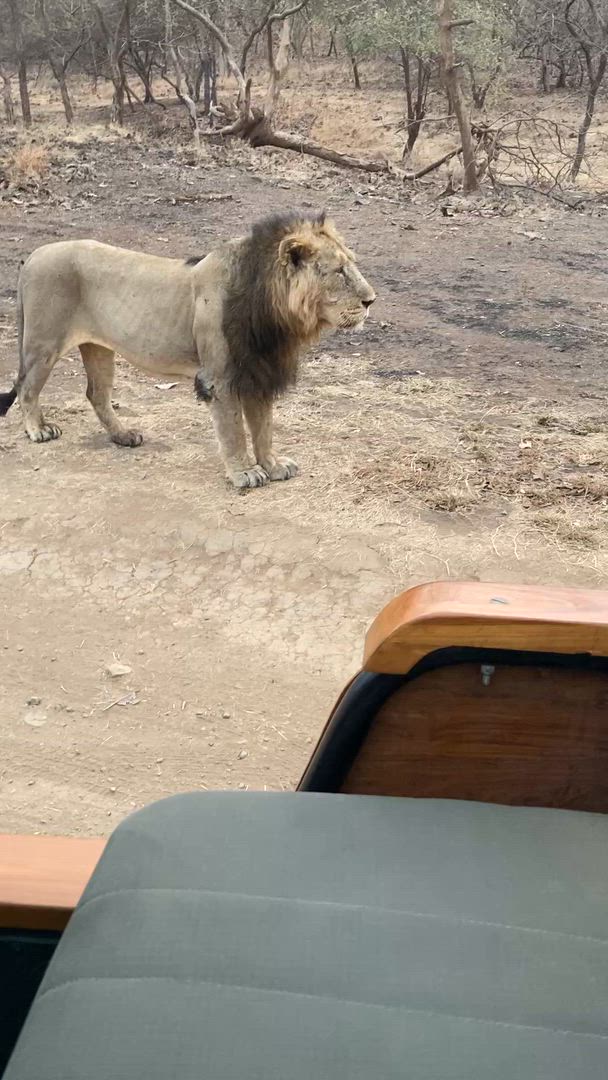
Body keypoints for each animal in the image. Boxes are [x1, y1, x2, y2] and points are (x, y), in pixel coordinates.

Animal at [0, 211, 375, 488]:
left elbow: (263, 427)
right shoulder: (221, 376)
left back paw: (124, 435)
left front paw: (272, 464)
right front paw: (245, 472)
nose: (371, 300)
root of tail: (32, 256)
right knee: (26, 387)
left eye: (351, 264)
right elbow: (234, 430)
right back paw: (38, 430)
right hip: (44, 343)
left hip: (97, 348)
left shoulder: (257, 370)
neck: (274, 313)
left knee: (96, 394)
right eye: (340, 271)